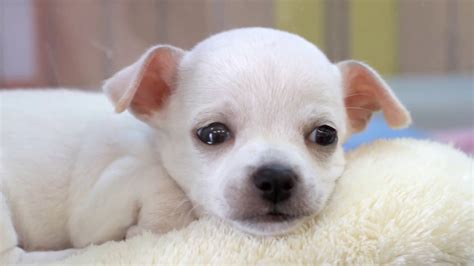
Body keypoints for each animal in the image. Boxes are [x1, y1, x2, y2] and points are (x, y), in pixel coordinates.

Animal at [0, 27, 410, 264]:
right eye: (212, 134)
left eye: (325, 135)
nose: (276, 177)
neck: (153, 143)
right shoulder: (98, 206)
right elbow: (162, 193)